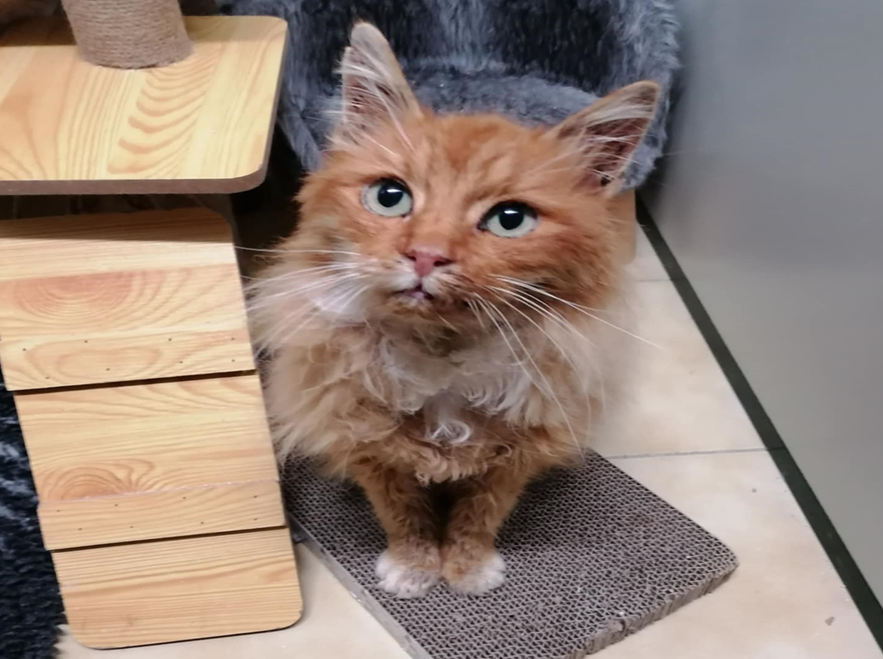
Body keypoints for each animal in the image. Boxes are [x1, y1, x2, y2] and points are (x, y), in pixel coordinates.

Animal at [250, 22, 659, 598]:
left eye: (510, 220)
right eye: (390, 197)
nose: (426, 255)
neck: (441, 357)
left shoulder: (516, 457)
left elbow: (479, 516)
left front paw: (469, 568)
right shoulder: (368, 448)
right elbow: (403, 514)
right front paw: (413, 567)